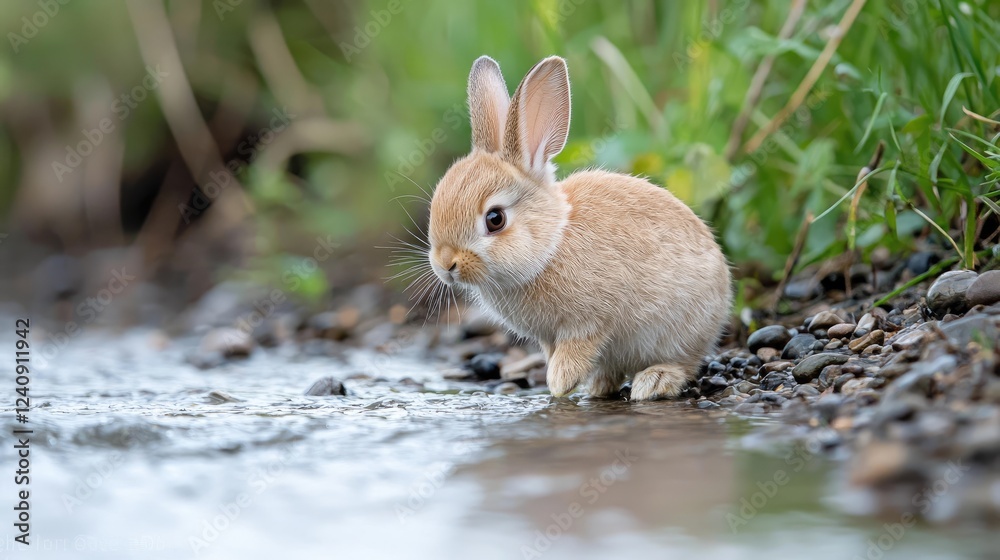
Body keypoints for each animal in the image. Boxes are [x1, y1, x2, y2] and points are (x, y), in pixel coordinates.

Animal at [426, 55, 732, 400]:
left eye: (495, 219)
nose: (446, 264)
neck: (552, 243)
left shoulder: (590, 322)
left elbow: (577, 349)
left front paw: (559, 384)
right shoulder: (547, 336)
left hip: (679, 332)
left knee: (685, 364)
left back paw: (653, 382)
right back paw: (599, 387)